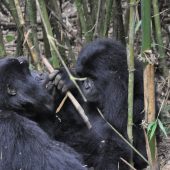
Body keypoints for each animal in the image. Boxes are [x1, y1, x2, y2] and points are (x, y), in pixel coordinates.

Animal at [50, 38, 147, 170]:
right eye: (82, 76)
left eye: (93, 77)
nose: (86, 86)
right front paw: (69, 79)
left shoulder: (142, 96)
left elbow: (117, 121)